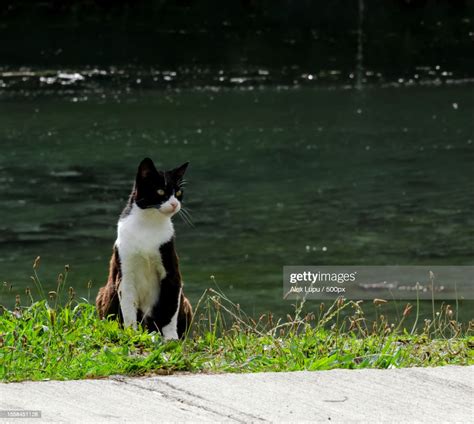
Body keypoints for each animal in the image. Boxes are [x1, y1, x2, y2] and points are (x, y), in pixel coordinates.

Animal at [94, 157, 193, 340]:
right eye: (160, 191)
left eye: (178, 193)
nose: (175, 204)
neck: (149, 224)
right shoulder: (125, 275)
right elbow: (128, 309)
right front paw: (131, 334)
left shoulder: (171, 273)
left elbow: (169, 310)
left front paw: (171, 339)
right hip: (105, 292)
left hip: (185, 301)